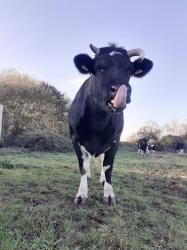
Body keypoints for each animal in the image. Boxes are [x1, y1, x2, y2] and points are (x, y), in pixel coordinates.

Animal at [68, 43, 153, 205]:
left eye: (129, 70)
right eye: (100, 68)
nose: (122, 90)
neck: (98, 123)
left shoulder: (115, 141)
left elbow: (108, 167)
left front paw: (108, 194)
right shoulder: (75, 139)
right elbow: (83, 166)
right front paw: (81, 195)